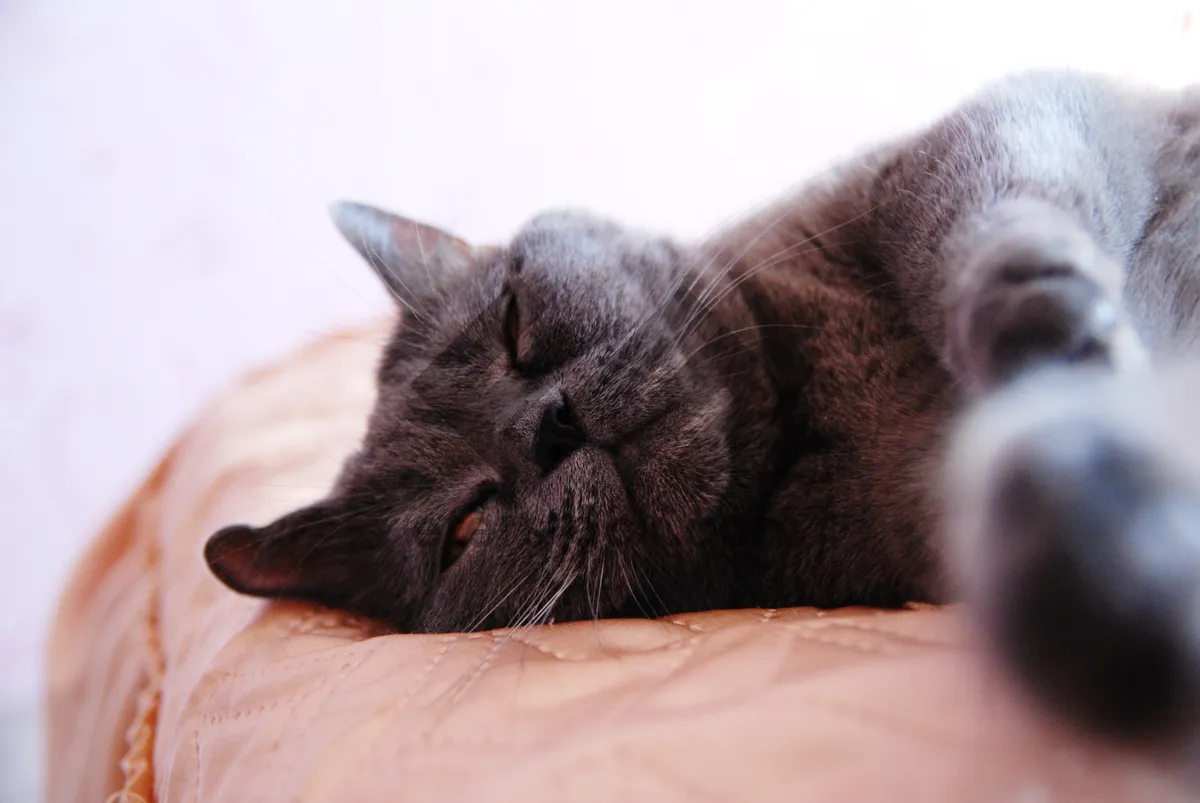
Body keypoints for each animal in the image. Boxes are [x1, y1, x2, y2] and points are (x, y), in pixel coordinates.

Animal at [204, 70, 1200, 753]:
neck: (811, 409)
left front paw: (1054, 328)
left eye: (515, 325)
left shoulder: (989, 133)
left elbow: (983, 217)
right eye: (464, 527)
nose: (548, 424)